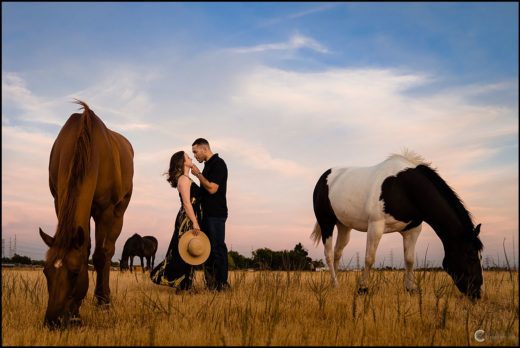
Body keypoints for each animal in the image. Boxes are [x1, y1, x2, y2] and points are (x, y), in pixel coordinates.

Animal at [38, 99, 134, 328]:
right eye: (46, 271)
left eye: (75, 273)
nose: (52, 321)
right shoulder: (59, 202)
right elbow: (87, 247)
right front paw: (77, 311)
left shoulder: (105, 209)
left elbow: (100, 256)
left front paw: (99, 304)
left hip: (118, 213)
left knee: (107, 251)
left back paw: (103, 299)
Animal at [308, 150, 484, 300]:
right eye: (470, 255)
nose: (477, 293)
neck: (403, 188)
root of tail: (324, 178)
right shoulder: (376, 226)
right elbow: (369, 258)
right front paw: (363, 289)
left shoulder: (412, 230)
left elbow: (409, 260)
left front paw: (410, 289)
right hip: (326, 223)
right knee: (329, 254)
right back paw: (335, 283)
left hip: (344, 226)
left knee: (337, 253)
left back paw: (335, 285)